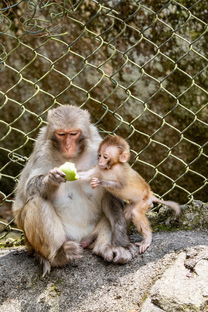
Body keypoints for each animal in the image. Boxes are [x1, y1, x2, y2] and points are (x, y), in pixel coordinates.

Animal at [12, 105, 136, 276]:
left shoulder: (98, 146)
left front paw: (121, 242)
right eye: (61, 134)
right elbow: (28, 189)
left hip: (91, 235)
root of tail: (80, 240)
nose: (68, 146)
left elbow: (111, 193)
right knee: (36, 201)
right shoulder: (42, 150)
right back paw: (59, 256)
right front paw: (50, 179)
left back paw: (106, 248)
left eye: (73, 134)